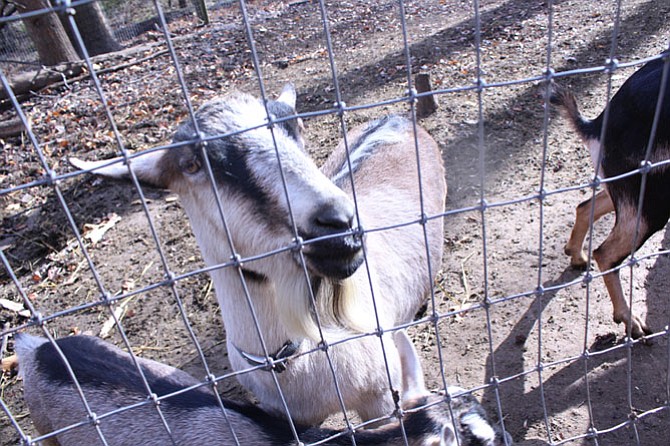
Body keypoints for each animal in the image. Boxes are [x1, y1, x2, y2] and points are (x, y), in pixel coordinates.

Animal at [552, 55, 668, 340]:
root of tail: (596, 127)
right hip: (653, 197)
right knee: (605, 252)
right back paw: (631, 322)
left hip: (627, 188)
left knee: (585, 206)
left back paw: (576, 256)